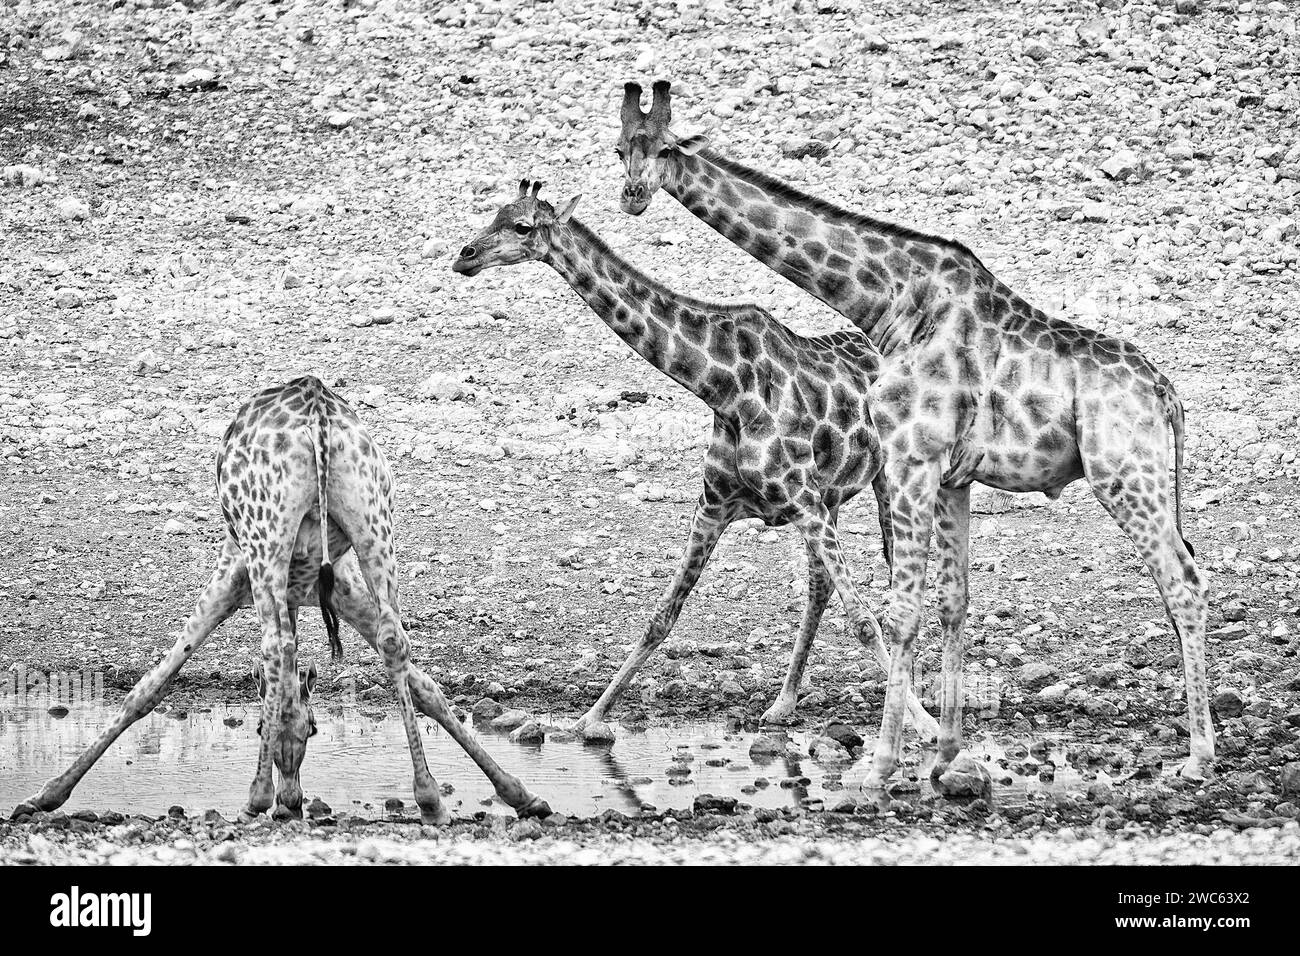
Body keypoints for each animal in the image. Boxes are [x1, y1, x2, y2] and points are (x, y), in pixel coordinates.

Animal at [16, 377, 553, 827]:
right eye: (309, 728)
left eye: (269, 729)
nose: (292, 800)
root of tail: (318, 413)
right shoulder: (339, 587)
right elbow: (425, 686)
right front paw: (520, 794)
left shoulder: (232, 570)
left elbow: (150, 686)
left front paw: (46, 795)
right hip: (374, 522)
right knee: (394, 640)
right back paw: (429, 798)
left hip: (265, 538)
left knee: (276, 647)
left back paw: (254, 799)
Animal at [457, 179, 946, 738]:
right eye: (495, 212)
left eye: (522, 226)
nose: (464, 255)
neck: (723, 388)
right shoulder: (717, 506)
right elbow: (661, 618)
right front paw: (591, 717)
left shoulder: (802, 501)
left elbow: (864, 620)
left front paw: (925, 726)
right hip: (833, 497)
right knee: (820, 587)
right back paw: (783, 703)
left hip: (886, 482)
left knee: (896, 577)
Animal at [613, 80, 1211, 785]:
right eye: (619, 146)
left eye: (660, 148)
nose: (632, 193)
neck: (891, 299)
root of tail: (1167, 393)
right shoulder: (951, 476)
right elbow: (952, 600)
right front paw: (947, 755)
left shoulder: (911, 460)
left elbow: (899, 611)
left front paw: (880, 765)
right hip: (1141, 479)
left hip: (1125, 476)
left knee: (1184, 584)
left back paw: (1198, 757)